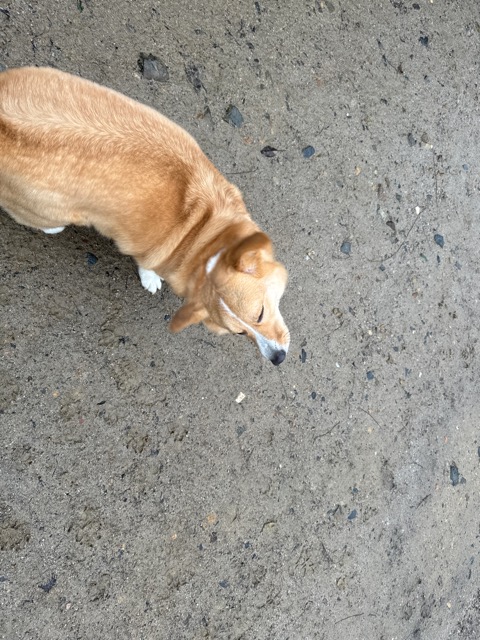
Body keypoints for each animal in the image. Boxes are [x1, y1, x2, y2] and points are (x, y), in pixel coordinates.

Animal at [0, 67, 289, 364]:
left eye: (260, 314)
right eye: (240, 332)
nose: (278, 358)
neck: (205, 239)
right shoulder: (146, 251)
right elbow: (147, 265)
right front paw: (150, 279)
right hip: (50, 211)